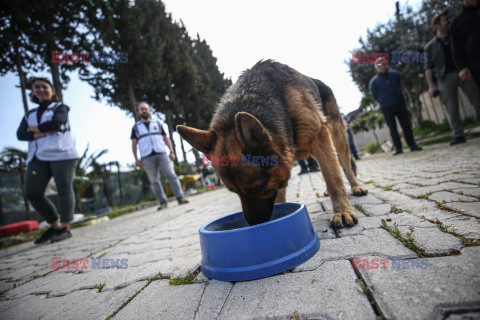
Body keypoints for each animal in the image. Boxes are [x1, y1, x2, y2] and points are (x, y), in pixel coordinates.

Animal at [178, 60, 370, 228]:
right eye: (233, 191)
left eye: (258, 187)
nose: (255, 224)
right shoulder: (280, 164)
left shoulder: (319, 139)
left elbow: (334, 179)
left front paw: (342, 212)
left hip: (338, 138)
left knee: (345, 166)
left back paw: (356, 186)